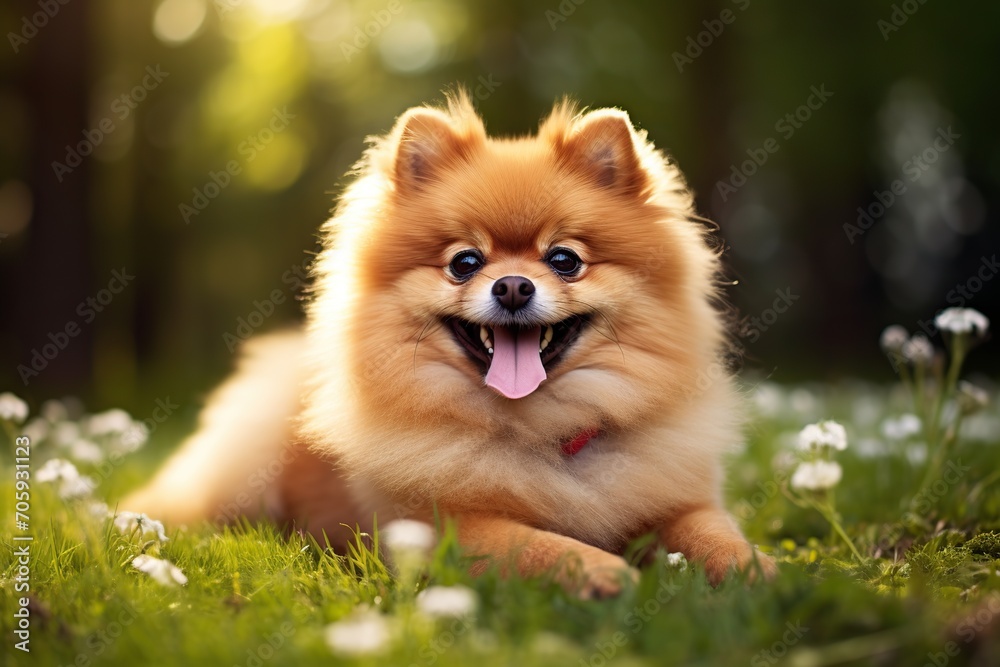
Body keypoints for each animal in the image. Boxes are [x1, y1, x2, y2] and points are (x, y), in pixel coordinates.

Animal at [123, 91, 772, 596]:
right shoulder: (437, 525)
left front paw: (757, 571)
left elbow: (711, 530)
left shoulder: (677, 496)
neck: (542, 432)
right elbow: (533, 543)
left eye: (565, 260)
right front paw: (600, 570)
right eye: (465, 263)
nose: (512, 286)